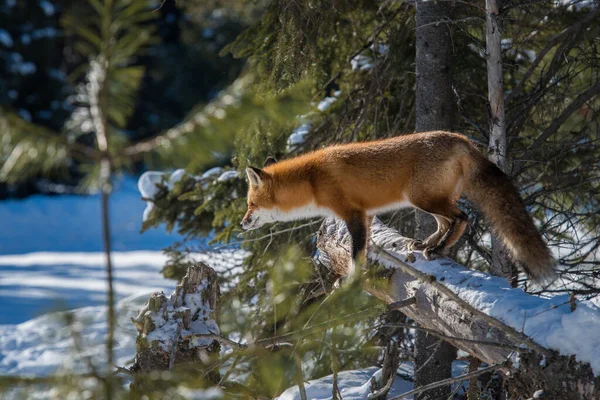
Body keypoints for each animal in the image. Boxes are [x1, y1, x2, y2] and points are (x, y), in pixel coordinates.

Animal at [241, 131, 556, 284]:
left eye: (250, 204)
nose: (242, 223)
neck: (313, 179)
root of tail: (462, 140)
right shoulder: (367, 215)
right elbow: (364, 248)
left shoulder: (353, 214)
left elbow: (356, 253)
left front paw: (353, 281)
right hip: (431, 200)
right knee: (447, 222)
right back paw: (427, 244)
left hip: (423, 199)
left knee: (462, 217)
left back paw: (438, 249)